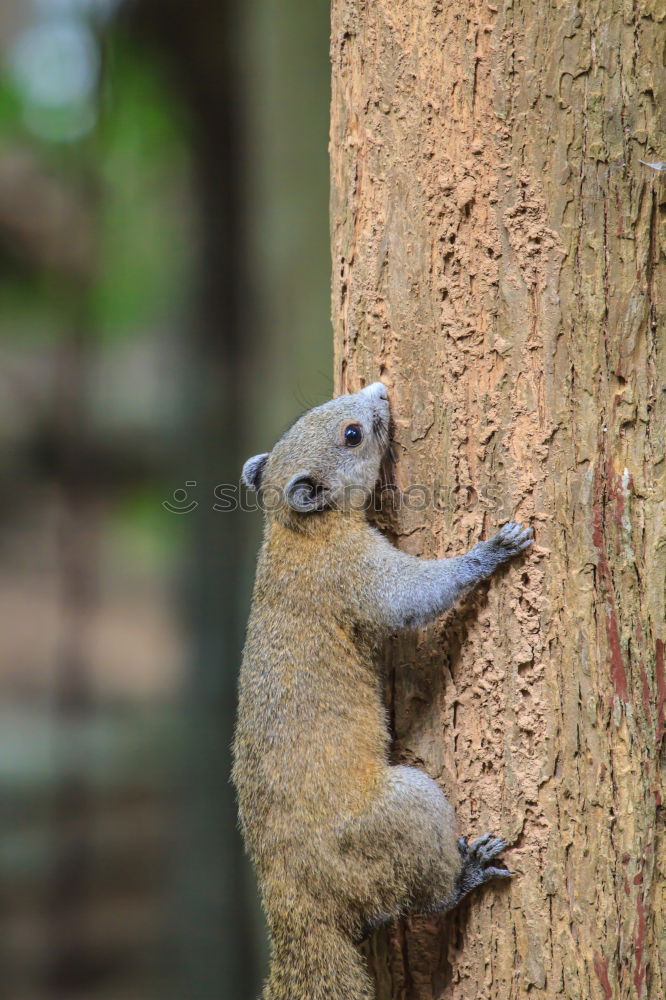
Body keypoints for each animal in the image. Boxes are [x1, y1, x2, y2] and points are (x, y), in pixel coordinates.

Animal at [231, 382, 532, 1000]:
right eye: (352, 435)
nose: (379, 392)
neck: (296, 532)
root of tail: (297, 907)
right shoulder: (358, 576)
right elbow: (416, 597)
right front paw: (493, 550)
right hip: (405, 813)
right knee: (425, 896)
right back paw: (467, 873)